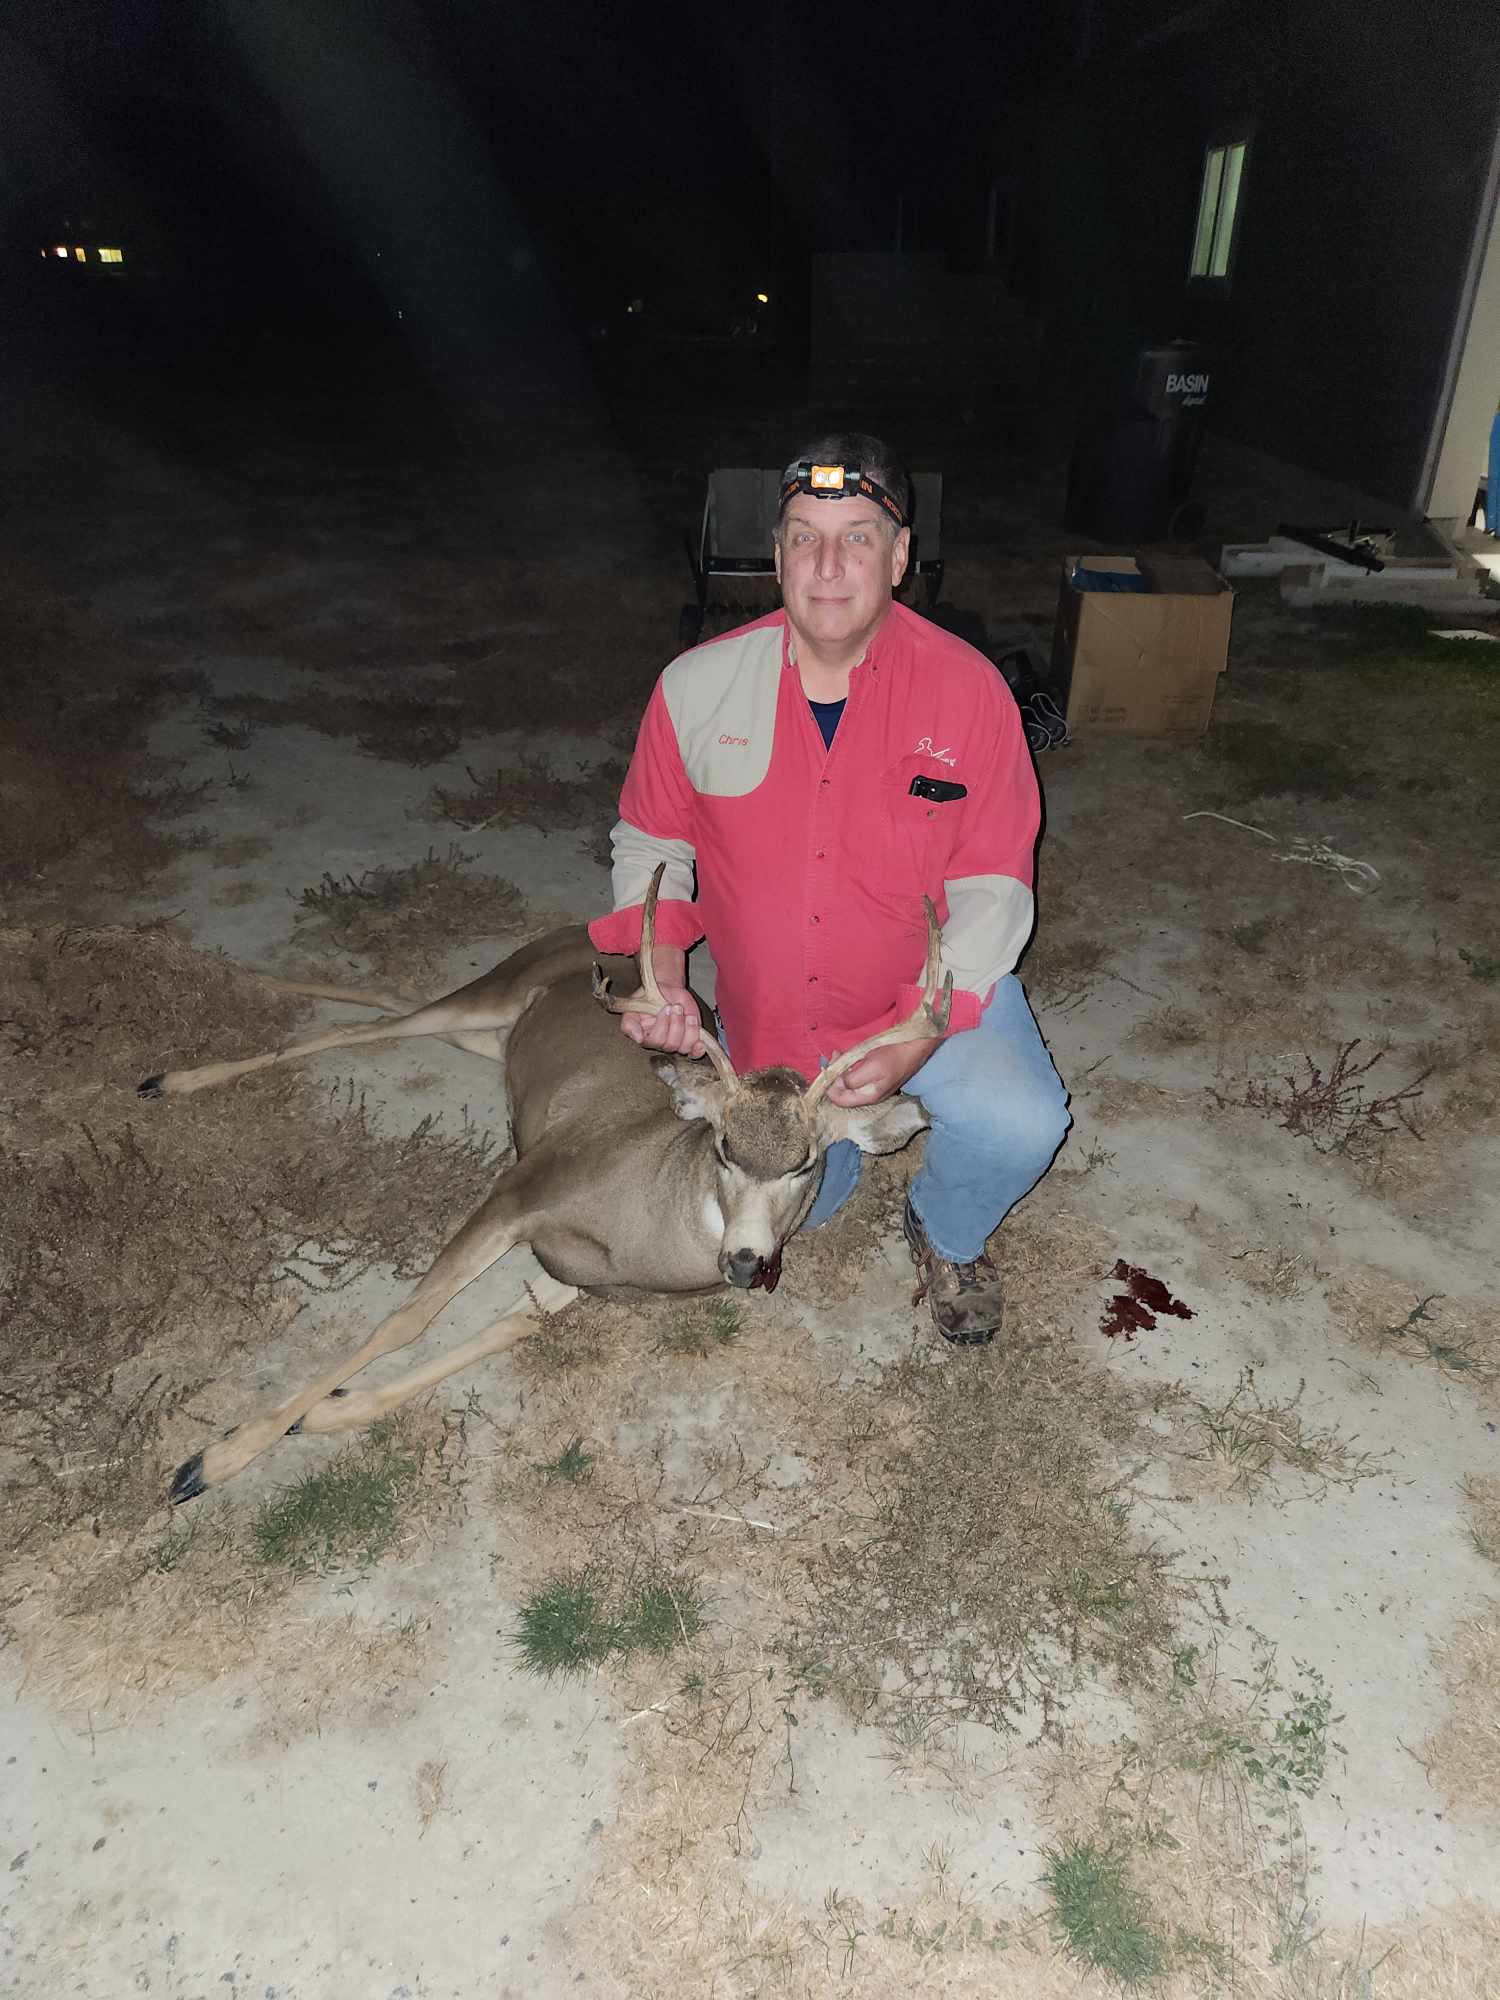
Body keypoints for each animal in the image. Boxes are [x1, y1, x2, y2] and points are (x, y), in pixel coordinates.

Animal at [140, 868, 952, 1502]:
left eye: (805, 1163)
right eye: (723, 1146)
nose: (745, 1261)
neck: (646, 1221)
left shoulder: (572, 1277)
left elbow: (506, 1328)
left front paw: (330, 1410)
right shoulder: (524, 1187)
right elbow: (409, 1320)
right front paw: (212, 1460)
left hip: (493, 1034)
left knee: (391, 1011)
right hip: (496, 989)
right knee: (367, 1026)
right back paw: (172, 1073)